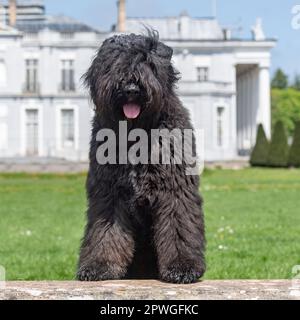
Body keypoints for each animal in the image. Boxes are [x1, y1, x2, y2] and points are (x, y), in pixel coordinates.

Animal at [76, 31, 205, 284]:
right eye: (113, 63)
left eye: (148, 62)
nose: (131, 88)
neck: (137, 134)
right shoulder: (109, 193)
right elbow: (106, 232)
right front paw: (100, 265)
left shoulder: (174, 189)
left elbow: (178, 225)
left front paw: (183, 267)